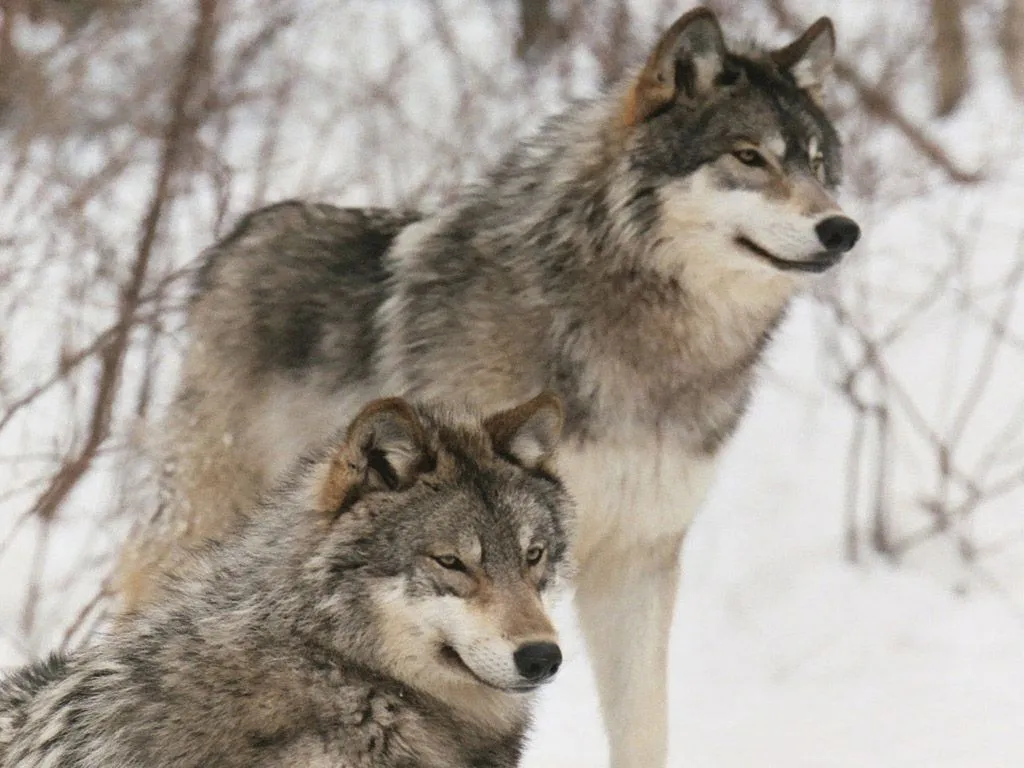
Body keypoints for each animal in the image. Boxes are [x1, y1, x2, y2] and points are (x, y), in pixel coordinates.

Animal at [116, 7, 860, 768]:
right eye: (748, 157)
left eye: (818, 163)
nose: (841, 228)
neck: (644, 350)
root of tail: (245, 231)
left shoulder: (636, 556)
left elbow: (643, 726)